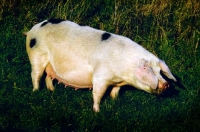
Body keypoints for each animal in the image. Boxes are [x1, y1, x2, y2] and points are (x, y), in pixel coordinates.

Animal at [23, 18, 177, 111]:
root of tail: (33, 29)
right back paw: (36, 91)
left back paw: (52, 90)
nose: (167, 84)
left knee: (48, 75)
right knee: (35, 75)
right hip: (36, 55)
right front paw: (97, 111)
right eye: (150, 70)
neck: (124, 74)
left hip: (50, 64)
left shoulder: (118, 82)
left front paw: (114, 101)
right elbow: (98, 94)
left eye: (160, 71)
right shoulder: (100, 77)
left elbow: (115, 91)